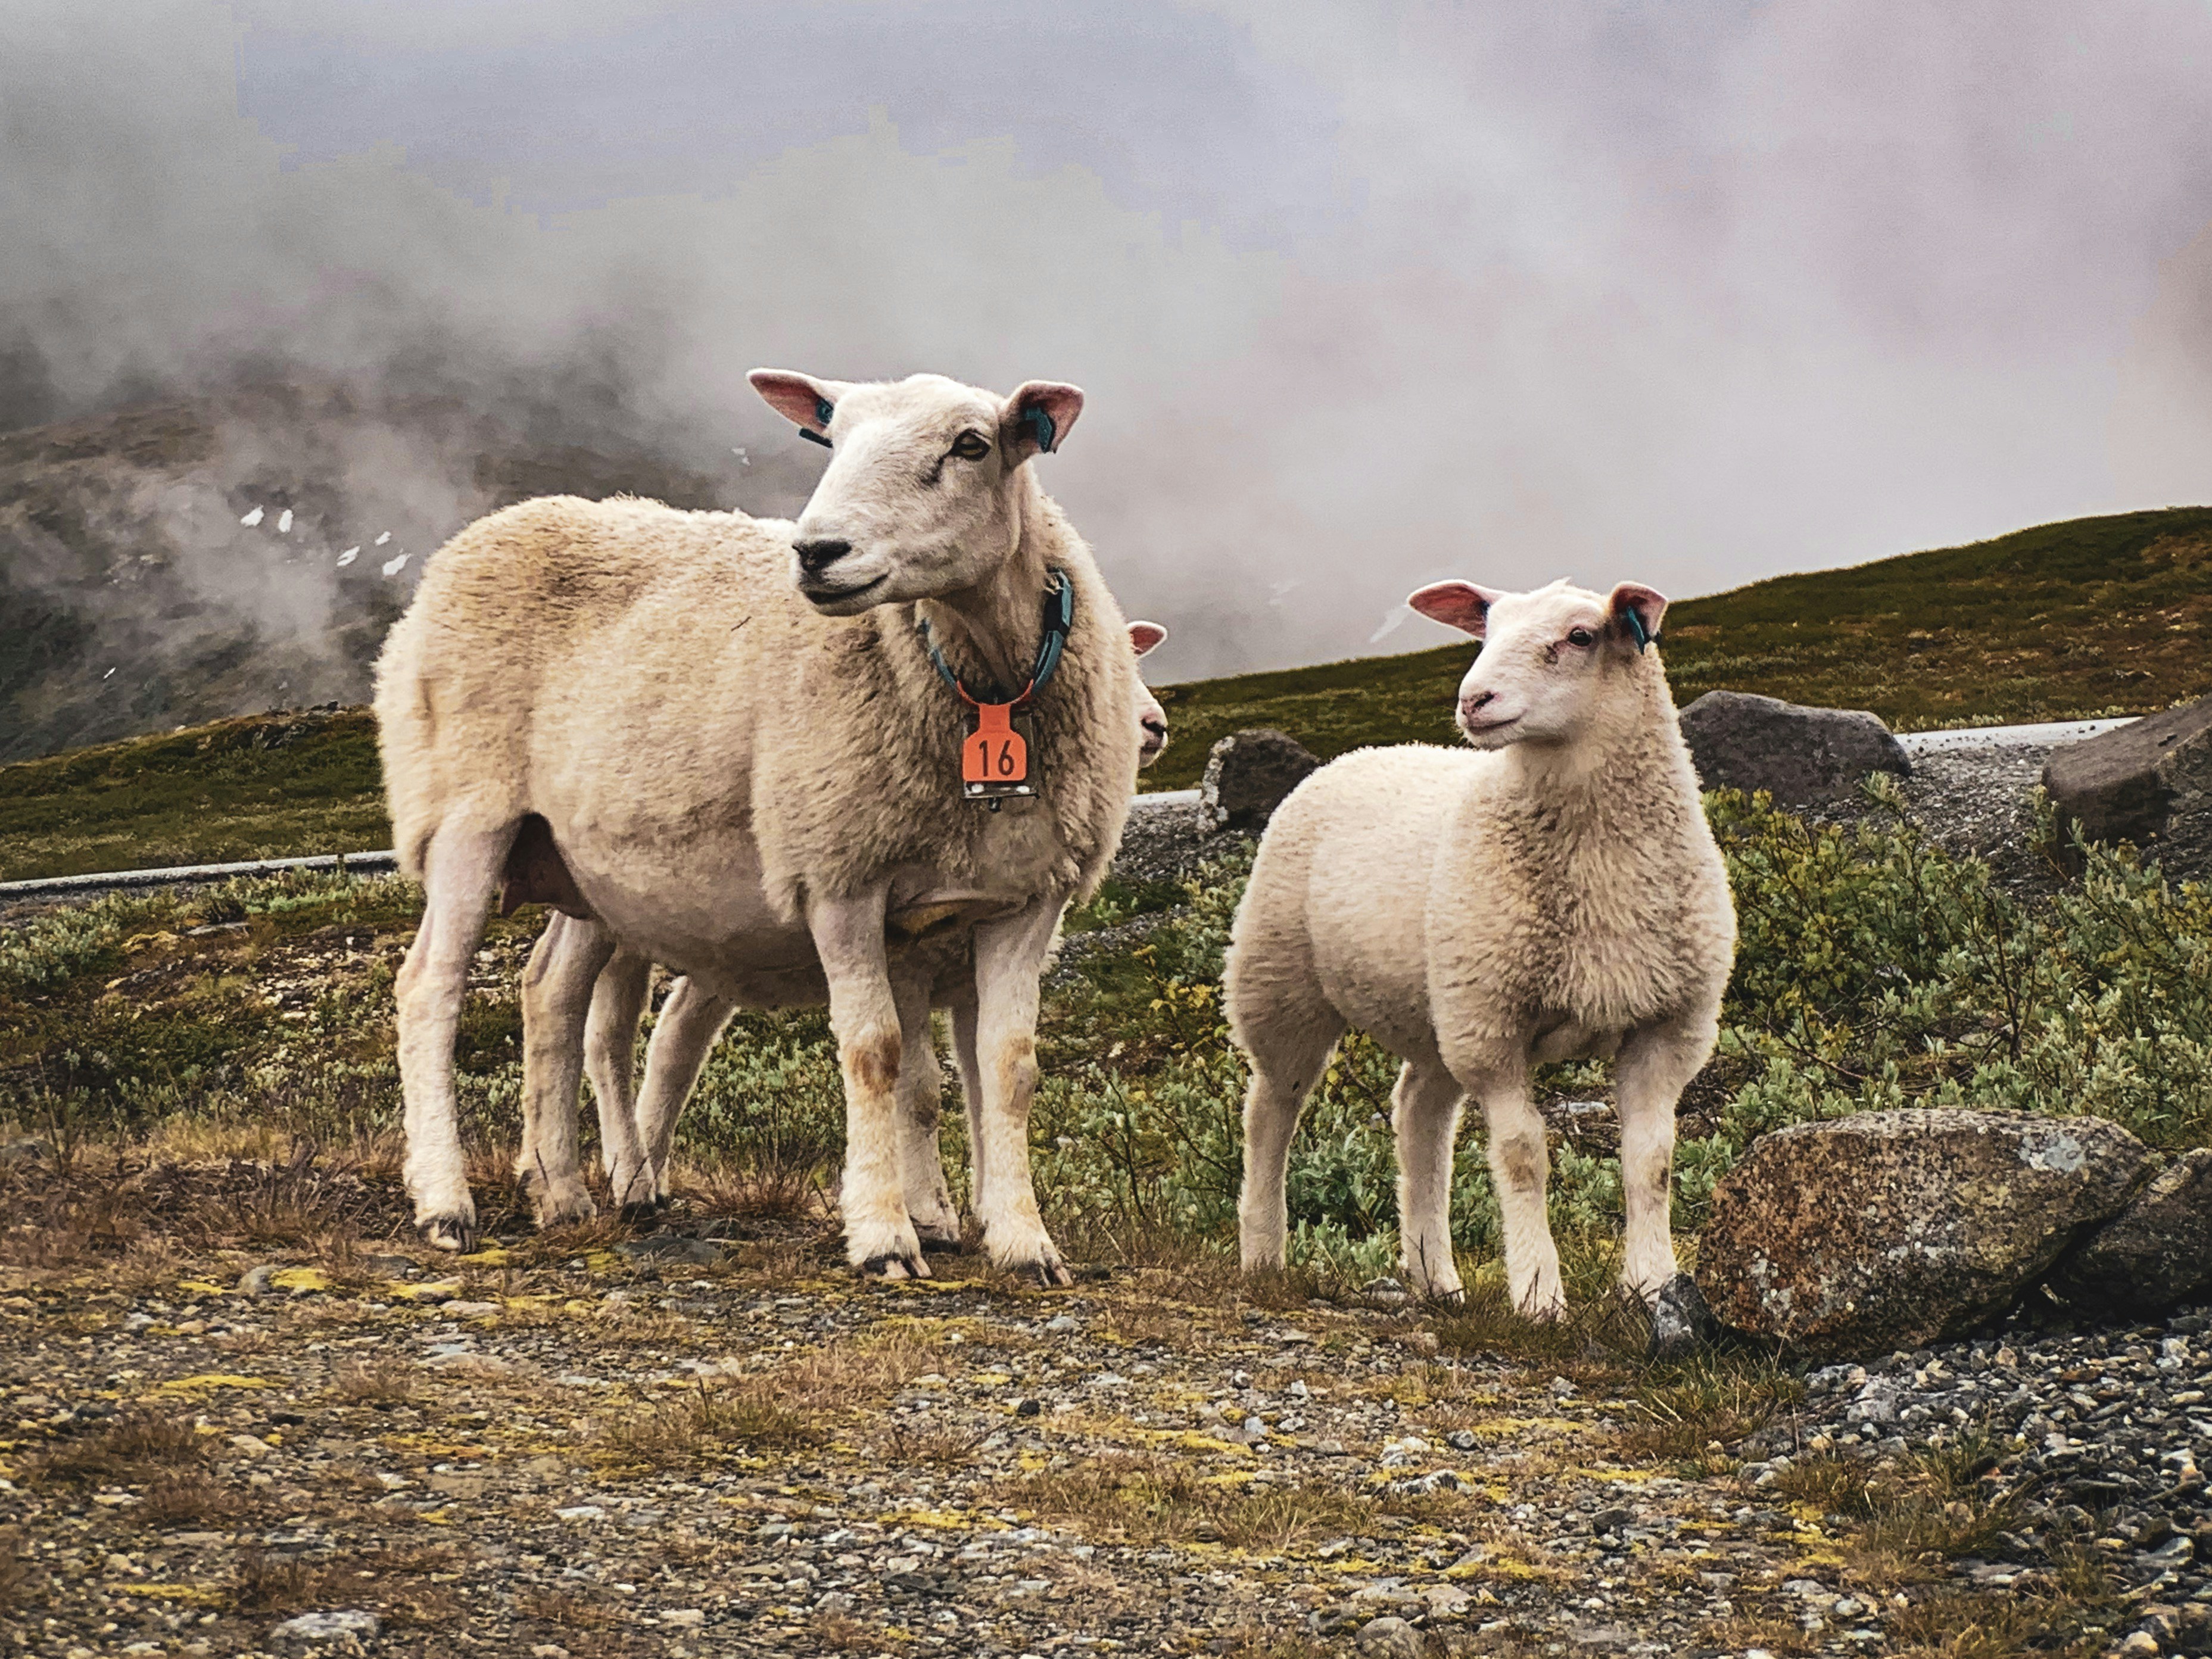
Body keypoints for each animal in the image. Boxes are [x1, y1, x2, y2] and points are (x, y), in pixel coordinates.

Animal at [527, 620, 1177, 1238]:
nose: (1153, 726)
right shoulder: (911, 959)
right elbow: (919, 1088)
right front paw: (929, 1214)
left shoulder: (967, 975)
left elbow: (982, 1084)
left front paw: (993, 1215)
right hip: (602, 908)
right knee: (580, 1008)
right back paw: (595, 1180)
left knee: (670, 1036)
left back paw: (637, 1174)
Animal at [1224, 578, 1734, 1317]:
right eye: (1485, 630)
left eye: (1581, 635)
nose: (1473, 699)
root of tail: (1359, 753)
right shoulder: (1495, 1030)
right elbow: (1523, 1156)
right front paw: (1540, 1297)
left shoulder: (1666, 1026)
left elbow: (1653, 1160)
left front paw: (1652, 1284)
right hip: (1284, 983)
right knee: (1271, 1111)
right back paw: (1264, 1253)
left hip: (1440, 1009)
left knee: (1419, 1115)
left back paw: (1435, 1275)